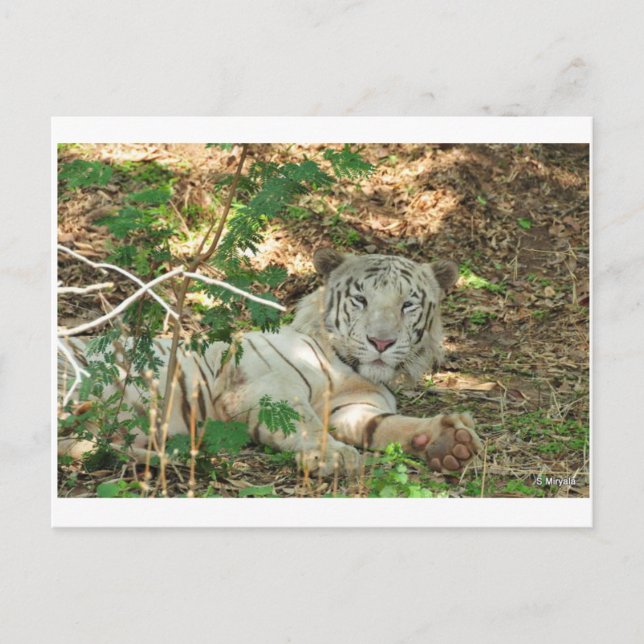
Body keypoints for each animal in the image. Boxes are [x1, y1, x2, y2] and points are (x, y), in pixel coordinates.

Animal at [58, 249, 482, 476]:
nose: (381, 341)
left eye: (407, 304)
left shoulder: (353, 407)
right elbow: (306, 423)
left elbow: (389, 425)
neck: (349, 368)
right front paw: (335, 457)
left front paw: (447, 441)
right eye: (361, 299)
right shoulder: (268, 389)